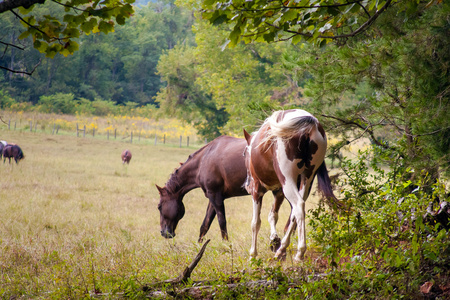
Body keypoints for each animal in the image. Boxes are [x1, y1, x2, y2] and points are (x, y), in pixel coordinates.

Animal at [156, 135, 284, 247]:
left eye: (159, 207)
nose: (163, 232)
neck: (203, 160)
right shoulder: (213, 196)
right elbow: (205, 225)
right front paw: (198, 247)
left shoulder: (215, 196)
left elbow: (222, 222)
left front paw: (226, 246)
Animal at [244, 109, 336, 262]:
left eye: (244, 153)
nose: (246, 184)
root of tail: (310, 124)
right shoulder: (279, 191)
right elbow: (273, 216)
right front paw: (275, 241)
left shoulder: (257, 191)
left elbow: (255, 223)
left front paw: (253, 255)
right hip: (307, 179)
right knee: (296, 212)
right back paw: (281, 250)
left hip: (288, 181)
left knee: (298, 206)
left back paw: (300, 252)